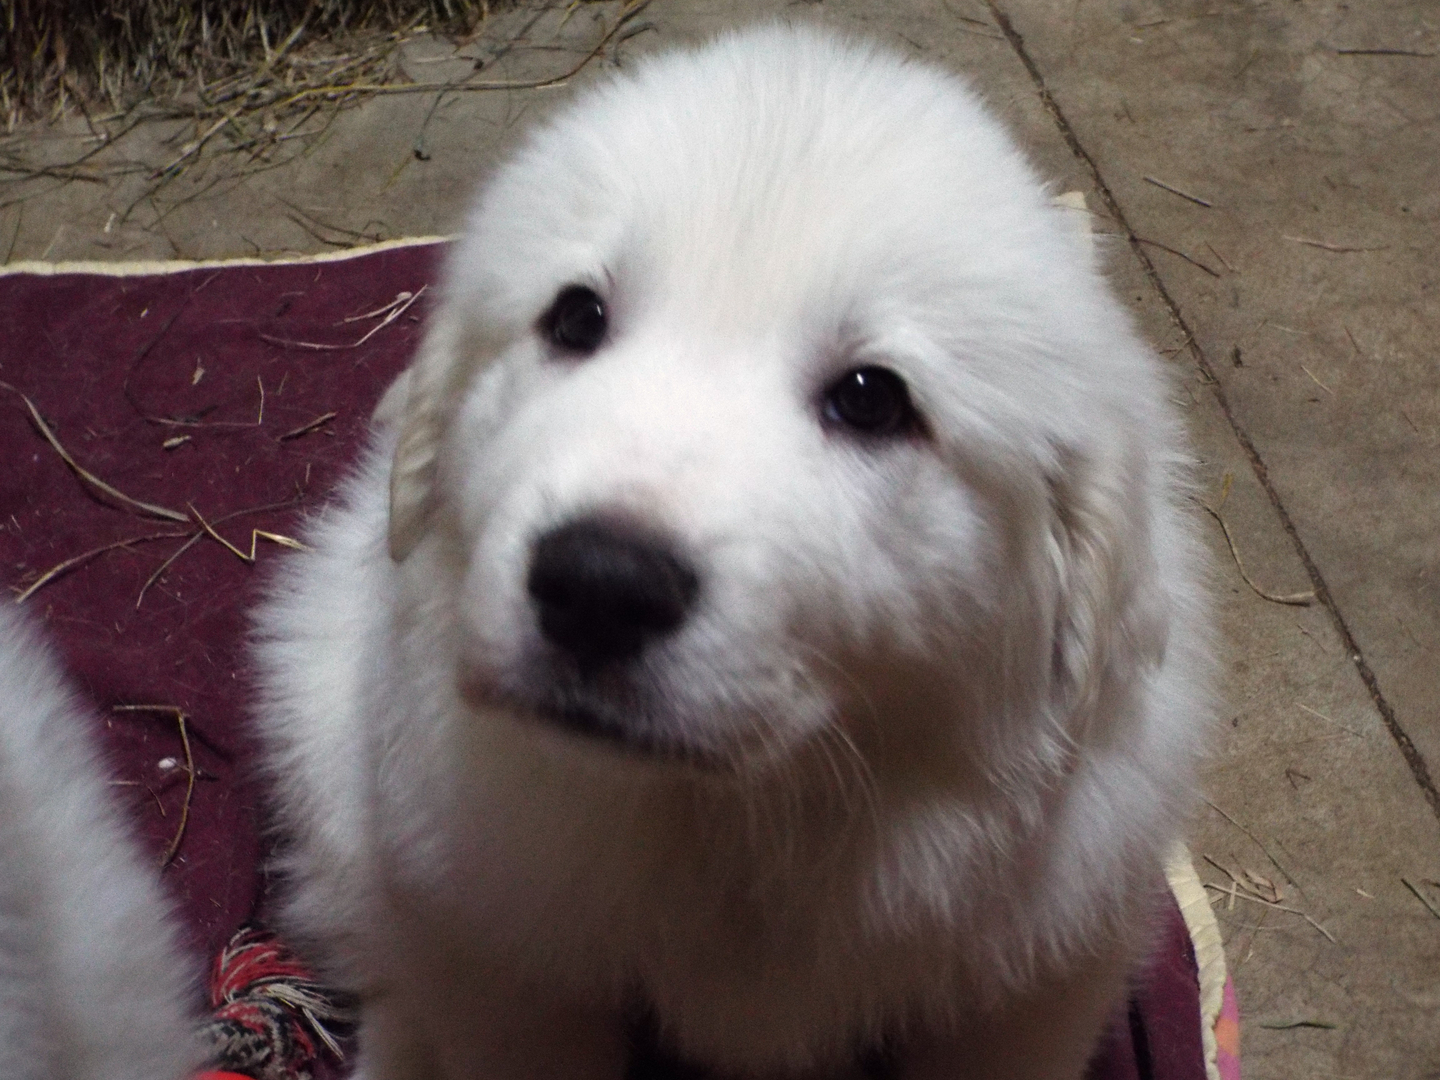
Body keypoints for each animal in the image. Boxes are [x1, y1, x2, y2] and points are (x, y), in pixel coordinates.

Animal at [253, 25, 1209, 1080]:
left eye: (872, 399)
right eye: (576, 319)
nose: (599, 587)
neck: (743, 814)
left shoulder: (1027, 991)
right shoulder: (510, 965)